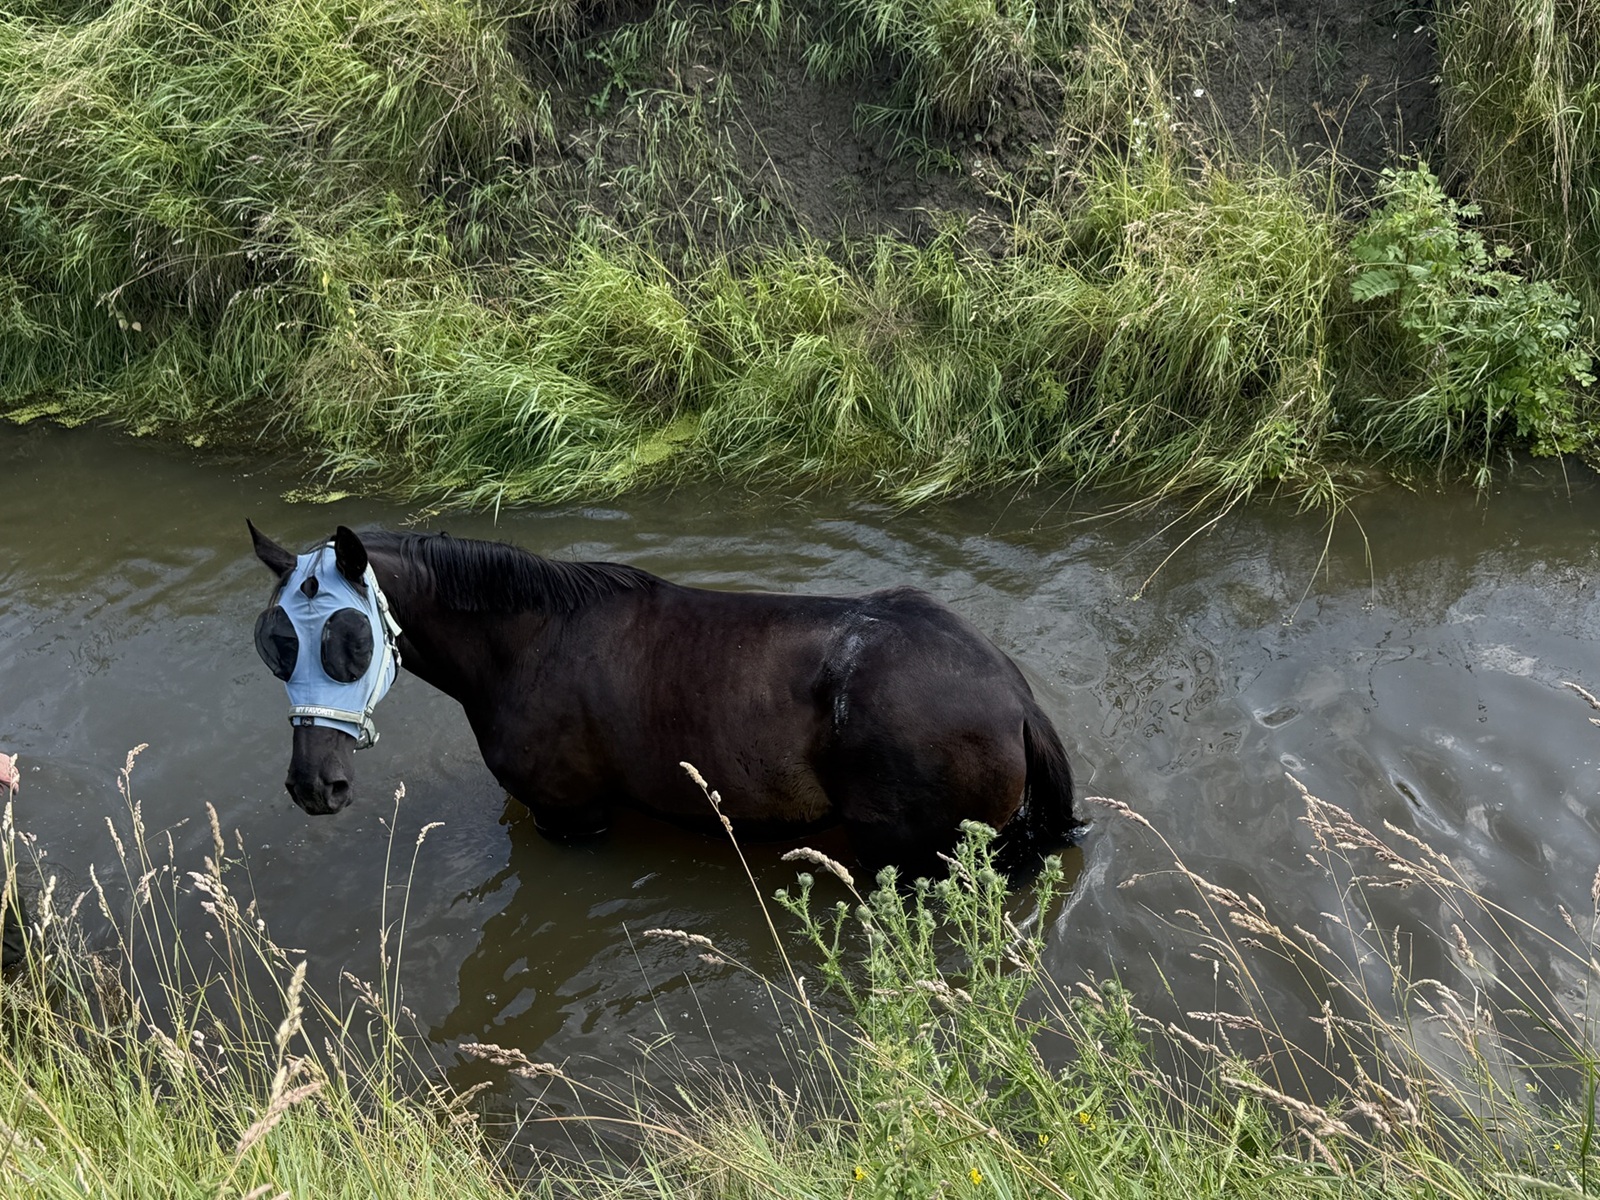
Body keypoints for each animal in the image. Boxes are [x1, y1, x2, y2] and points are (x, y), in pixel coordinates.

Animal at [248, 522, 1082, 875]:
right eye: (276, 643)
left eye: (353, 639)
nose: (313, 785)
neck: (531, 643)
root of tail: (1012, 692)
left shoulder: (572, 819)